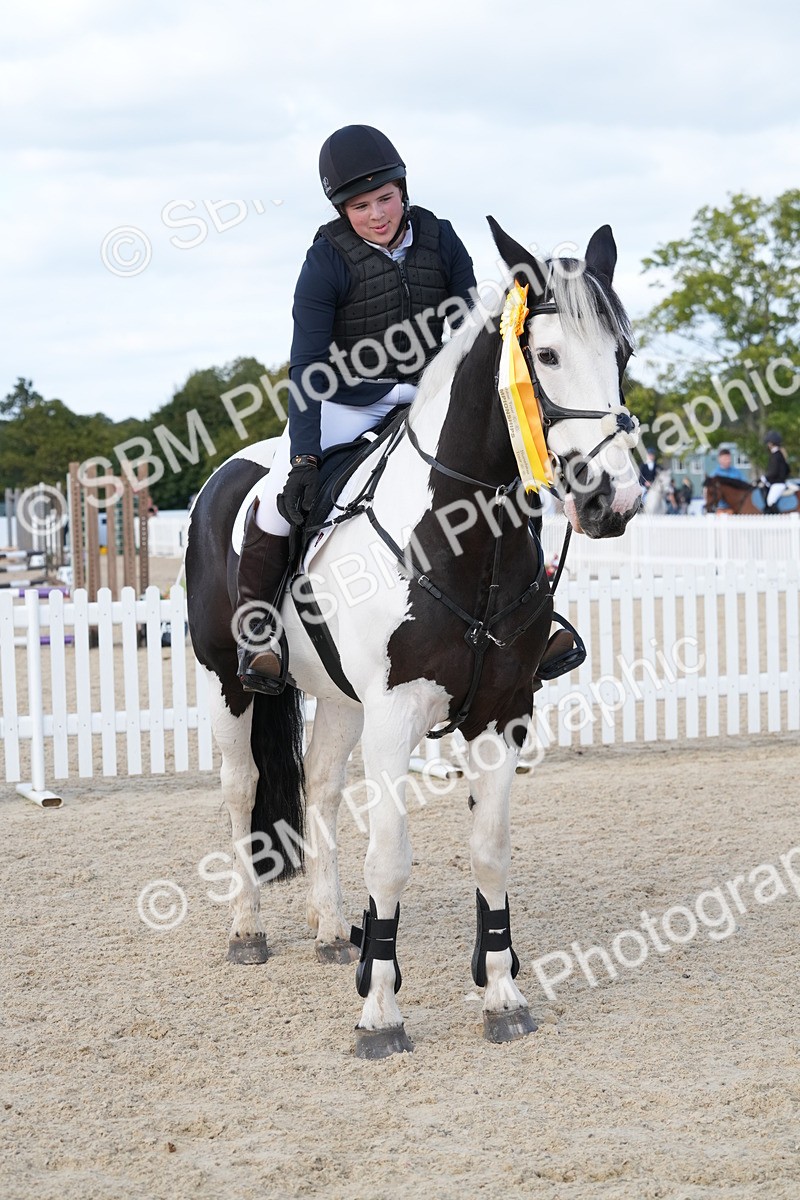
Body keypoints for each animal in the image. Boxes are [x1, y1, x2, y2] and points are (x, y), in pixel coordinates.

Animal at [185, 218, 643, 1058]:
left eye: (621, 353)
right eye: (546, 355)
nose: (613, 499)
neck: (460, 536)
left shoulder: (502, 711)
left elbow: (489, 850)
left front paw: (501, 995)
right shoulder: (396, 715)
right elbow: (391, 859)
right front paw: (379, 1012)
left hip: (340, 700)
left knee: (320, 786)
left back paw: (331, 928)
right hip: (226, 680)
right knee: (241, 790)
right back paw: (248, 932)